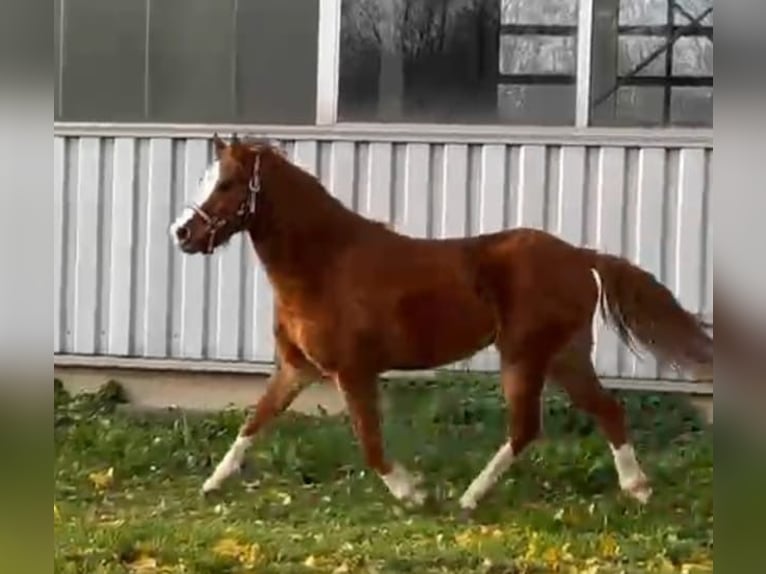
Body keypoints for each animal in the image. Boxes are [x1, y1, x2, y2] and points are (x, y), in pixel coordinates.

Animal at [168, 135, 712, 512]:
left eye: (226, 183)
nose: (181, 234)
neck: (324, 264)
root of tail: (581, 256)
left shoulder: (353, 371)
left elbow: (371, 444)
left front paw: (414, 494)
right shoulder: (296, 368)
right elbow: (255, 421)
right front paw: (212, 483)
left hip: (525, 356)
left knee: (528, 427)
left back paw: (470, 498)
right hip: (565, 355)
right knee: (605, 410)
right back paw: (637, 489)